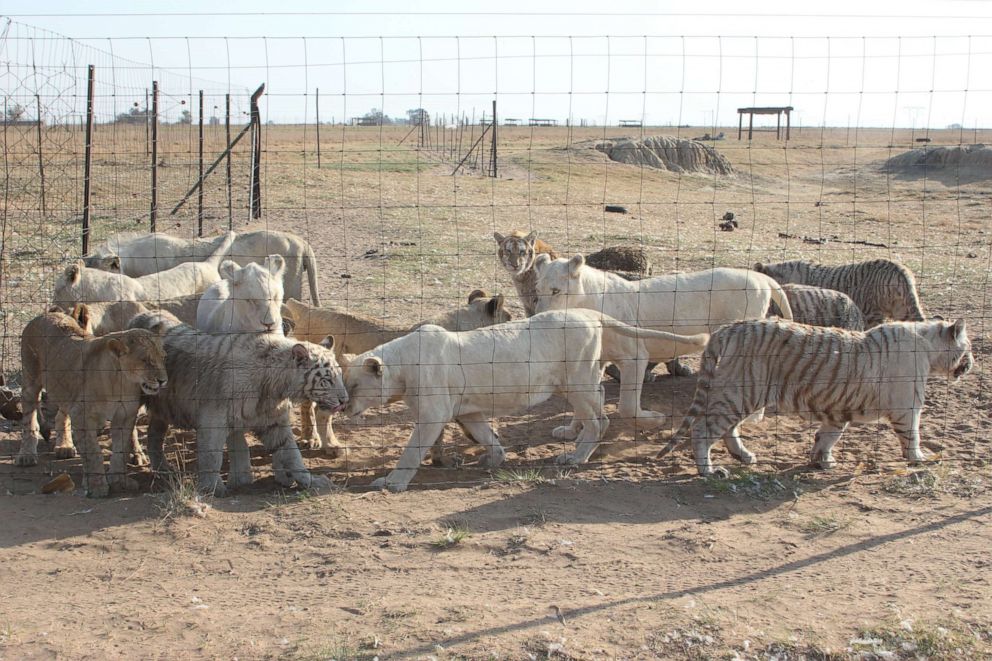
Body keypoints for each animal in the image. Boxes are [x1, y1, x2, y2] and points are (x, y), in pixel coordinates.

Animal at [344, 310, 708, 490]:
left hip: (576, 379)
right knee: (600, 401)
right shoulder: (468, 410)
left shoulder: (434, 414)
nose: (341, 405)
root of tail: (589, 314)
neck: (402, 366)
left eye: (354, 386)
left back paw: (575, 458)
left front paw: (391, 483)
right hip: (572, 382)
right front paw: (493, 459)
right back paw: (572, 436)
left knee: (600, 419)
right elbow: (486, 435)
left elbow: (410, 451)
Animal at [656, 316, 972, 474]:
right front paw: (919, 458)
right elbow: (913, 434)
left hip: (741, 394)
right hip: (741, 391)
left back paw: (744, 456)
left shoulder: (838, 410)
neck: (929, 348)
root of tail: (728, 328)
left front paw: (822, 461)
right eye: (967, 347)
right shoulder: (908, 407)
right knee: (703, 429)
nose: (972, 363)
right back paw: (709, 471)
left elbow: (827, 436)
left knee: (726, 429)